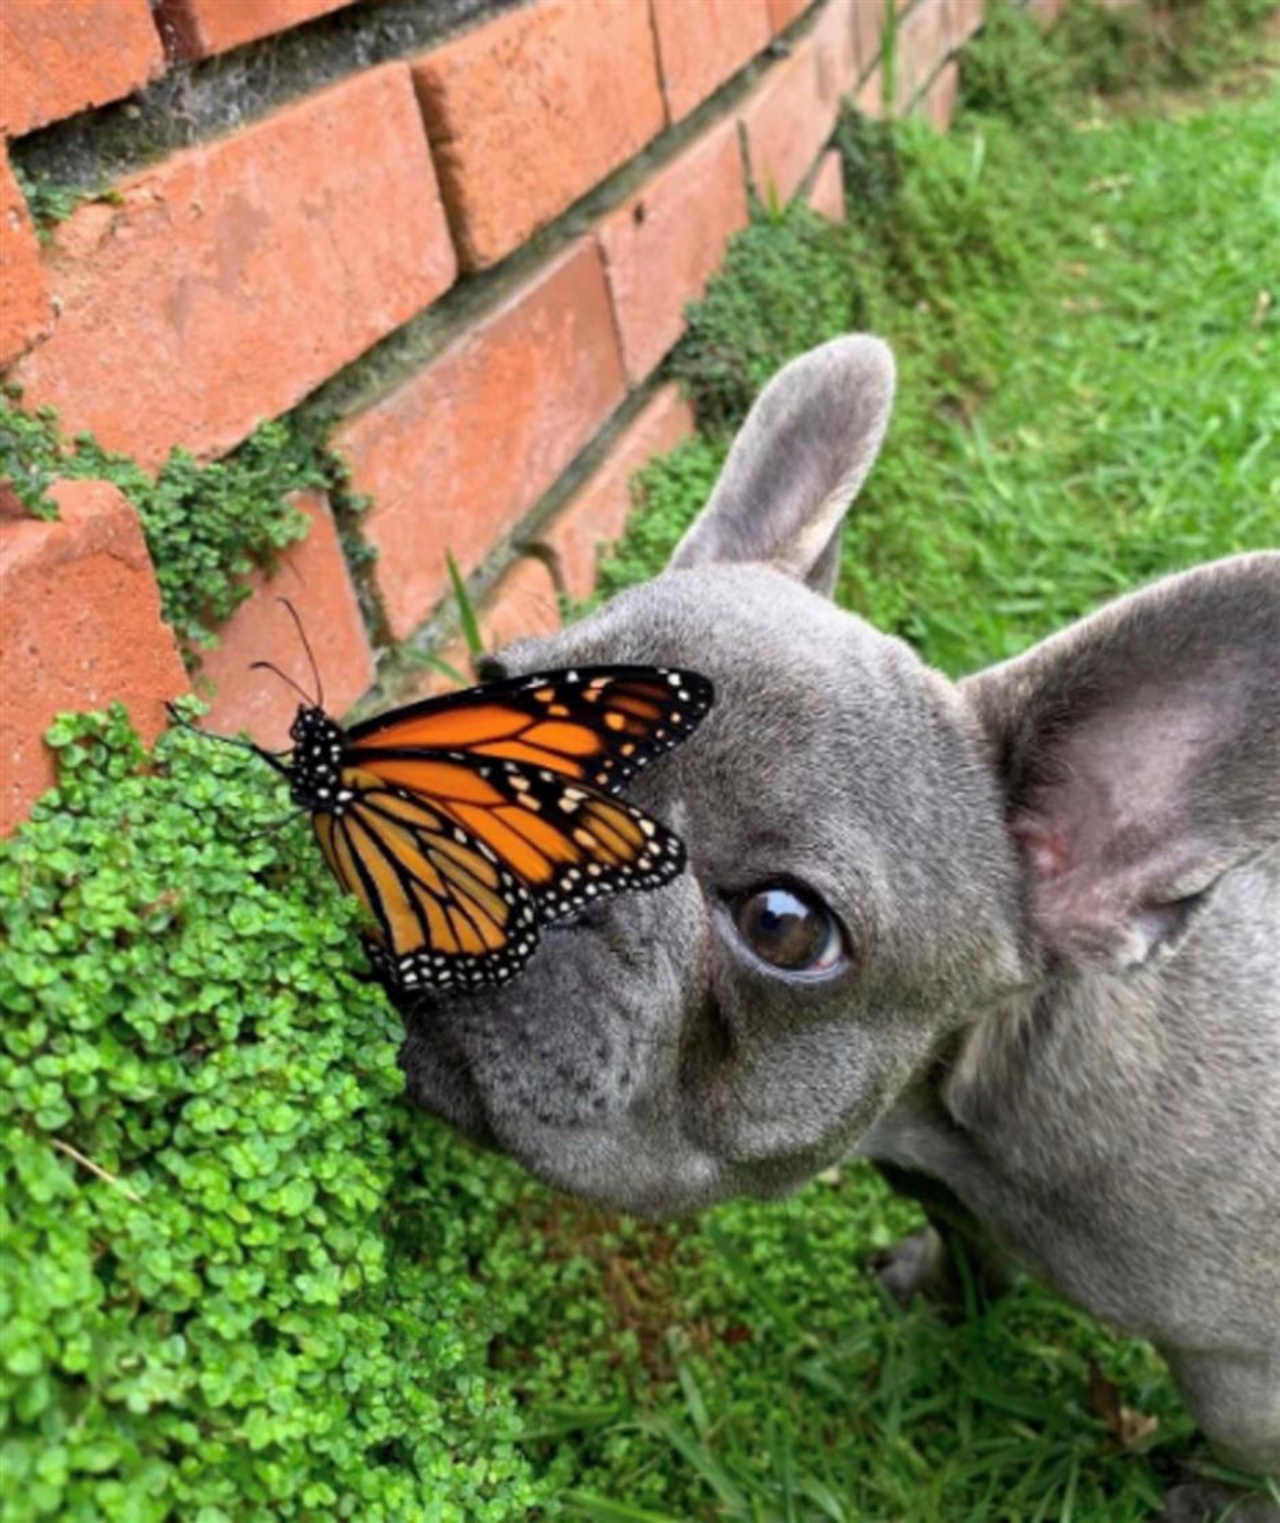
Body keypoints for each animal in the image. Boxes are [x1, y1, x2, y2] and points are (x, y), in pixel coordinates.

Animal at [396, 336, 1267, 1510]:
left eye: (784, 924)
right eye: (488, 696)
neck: (957, 1115)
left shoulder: (1242, 1376)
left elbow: (1242, 1445)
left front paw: (1224, 1499)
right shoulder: (943, 1184)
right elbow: (964, 1242)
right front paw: (943, 1291)